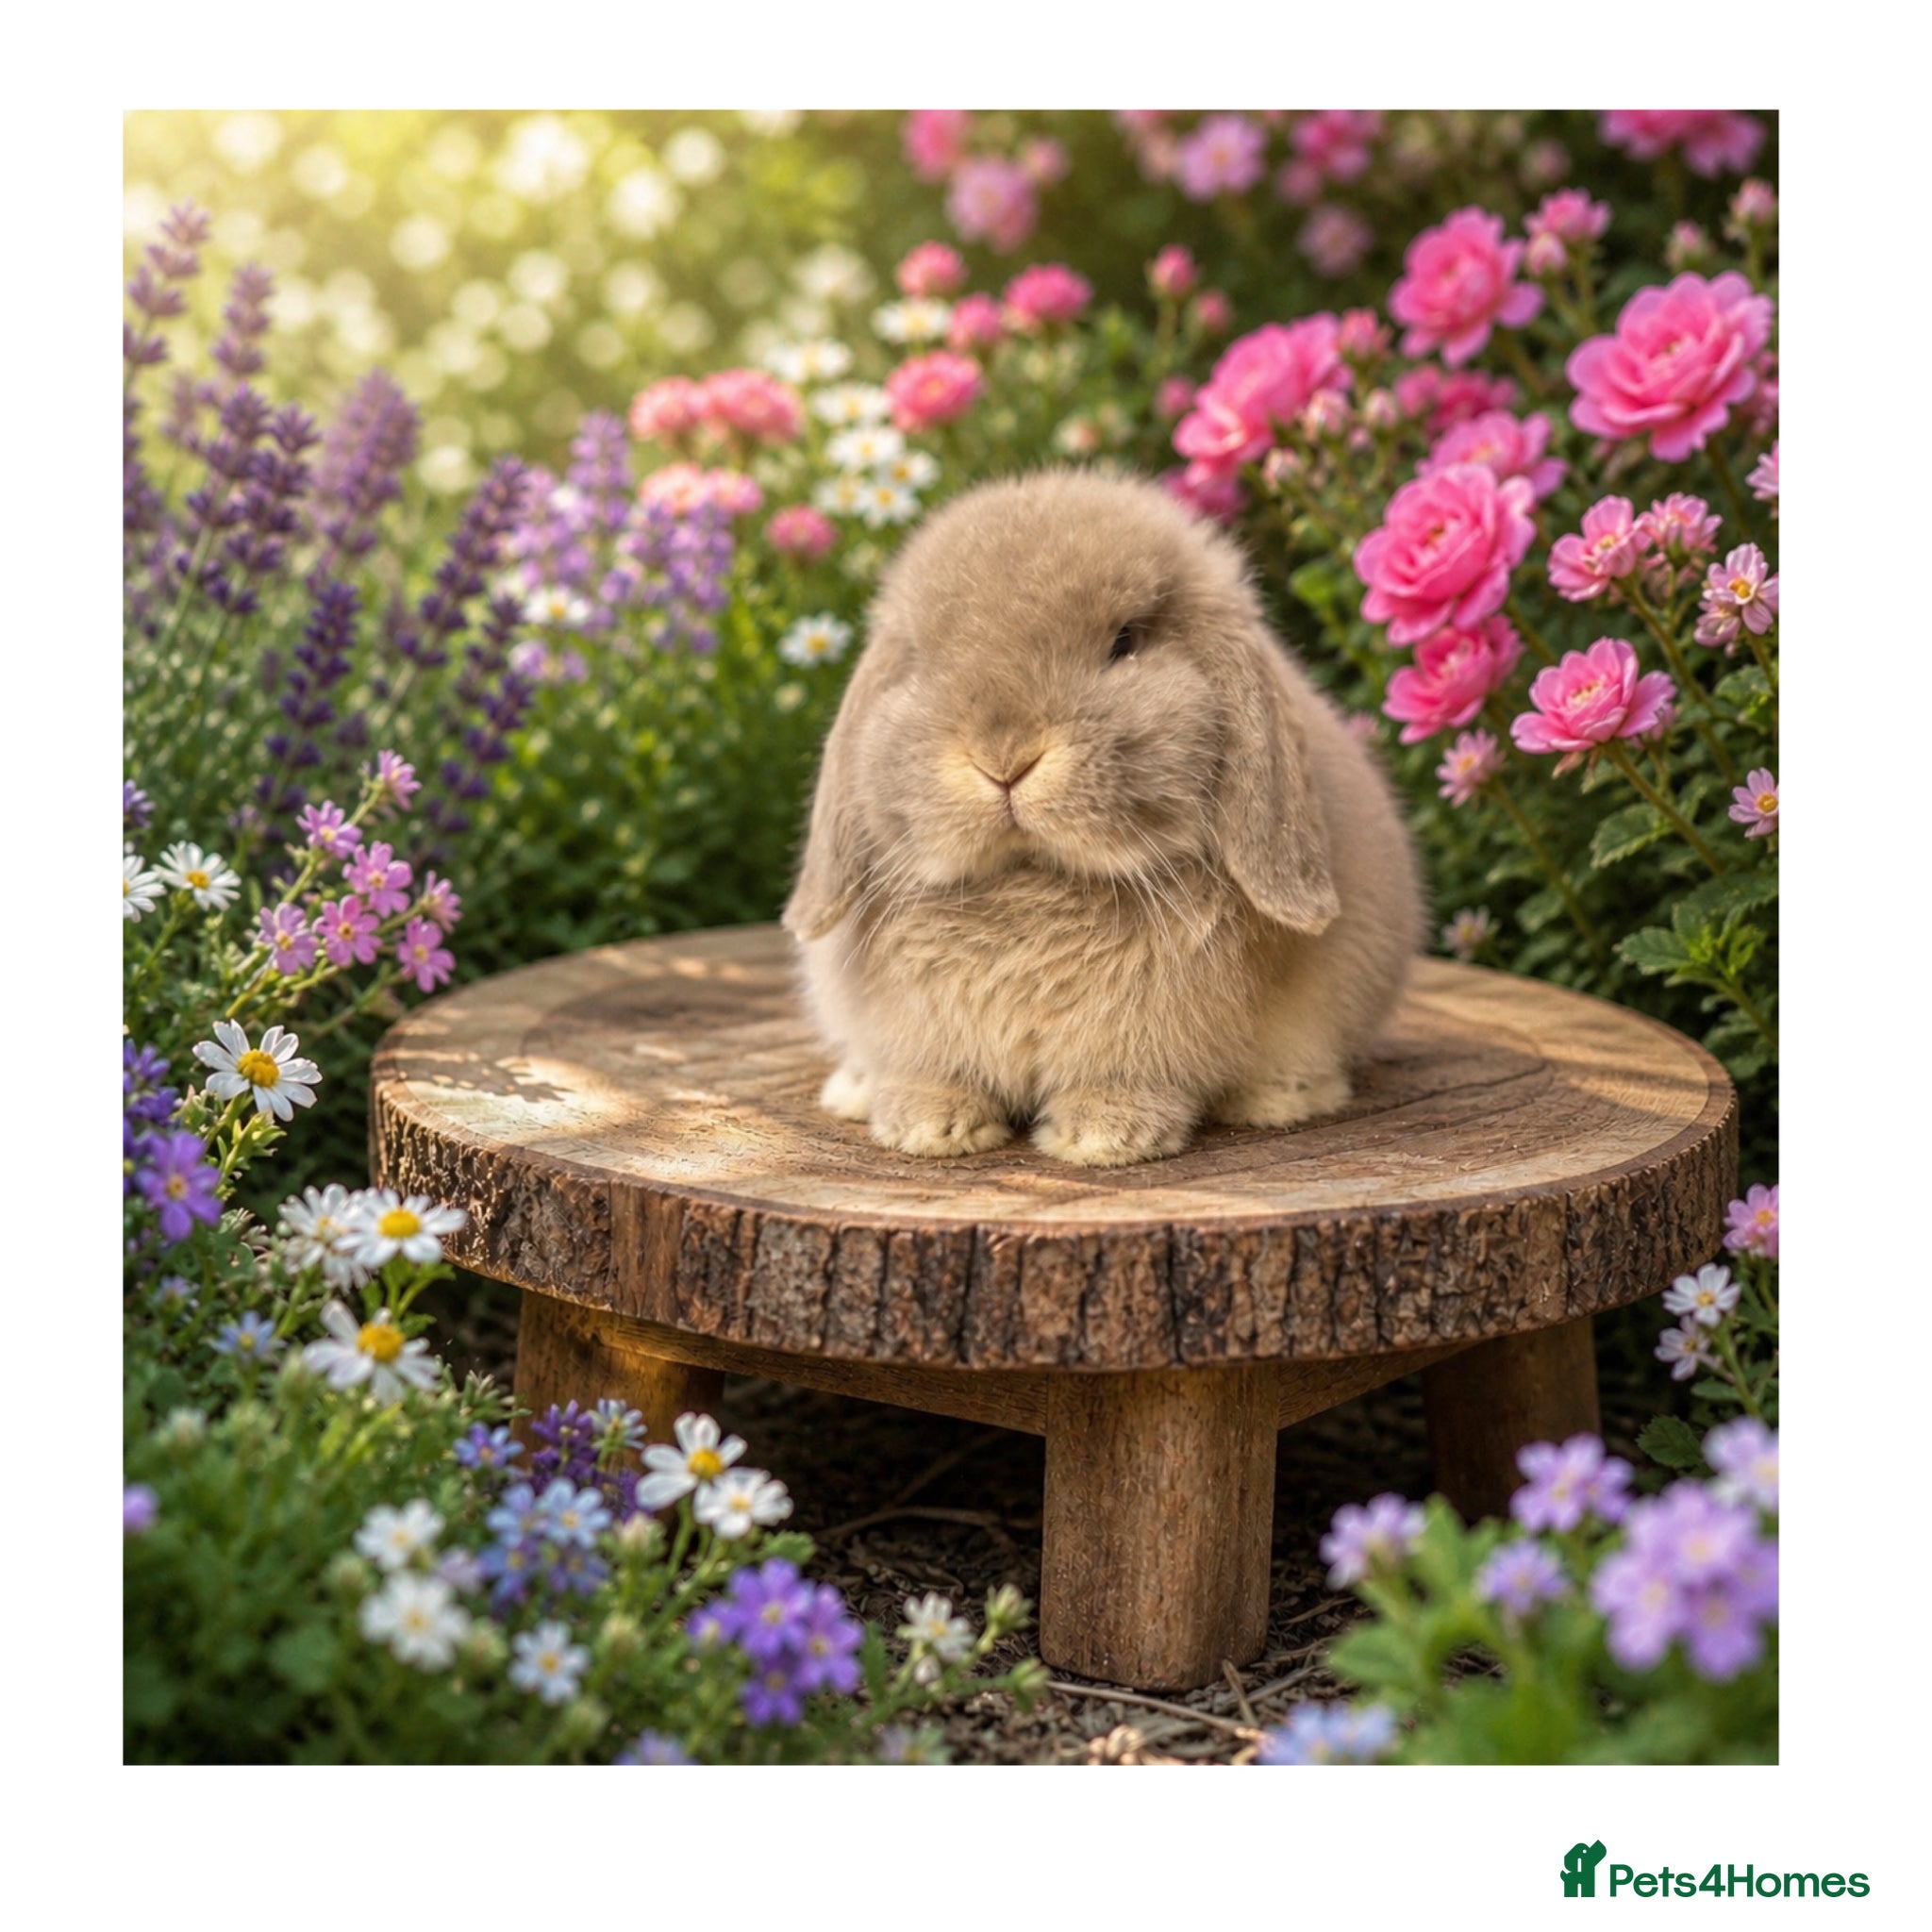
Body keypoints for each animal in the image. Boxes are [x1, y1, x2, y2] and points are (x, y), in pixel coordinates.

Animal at [782, 467, 1424, 1167]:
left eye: (1126, 642)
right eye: (920, 662)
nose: (1003, 759)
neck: (1032, 882)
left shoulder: (1146, 1046)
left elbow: (1127, 1081)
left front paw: (1103, 1137)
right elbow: (934, 1075)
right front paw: (928, 1127)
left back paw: (1281, 1097)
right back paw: (855, 1091)